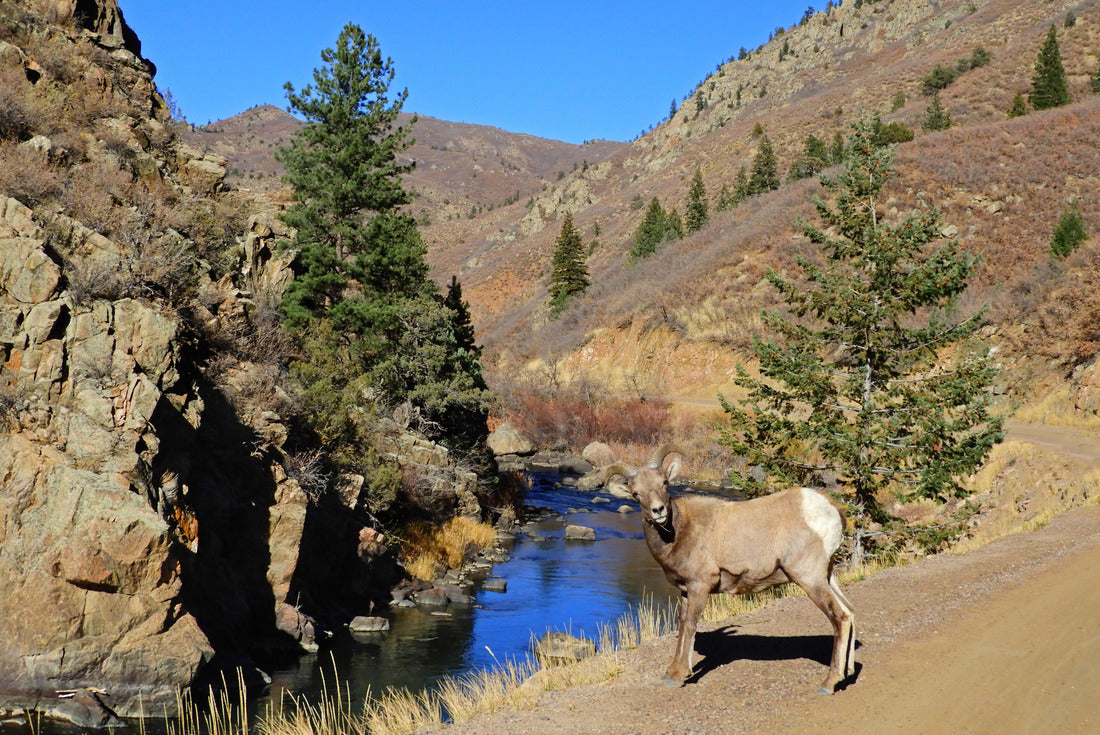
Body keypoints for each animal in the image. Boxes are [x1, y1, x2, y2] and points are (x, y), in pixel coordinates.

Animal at [599, 446, 856, 693]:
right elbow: (682, 625)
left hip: (809, 578)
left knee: (841, 617)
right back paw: (848, 673)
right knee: (850, 611)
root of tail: (831, 509)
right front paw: (671, 671)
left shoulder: (700, 587)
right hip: (827, 576)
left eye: (664, 483)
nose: (658, 511)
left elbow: (690, 625)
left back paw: (829, 683)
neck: (679, 533)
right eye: (636, 494)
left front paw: (679, 677)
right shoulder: (685, 590)